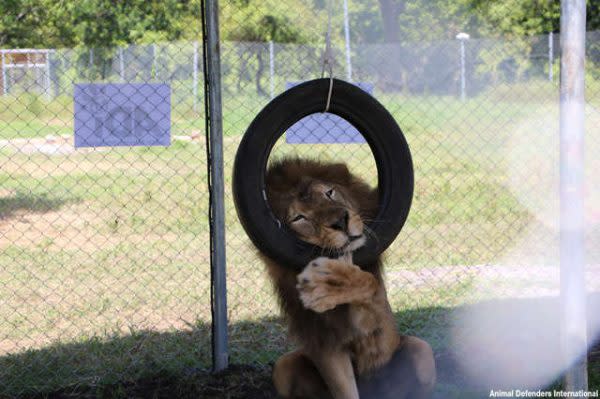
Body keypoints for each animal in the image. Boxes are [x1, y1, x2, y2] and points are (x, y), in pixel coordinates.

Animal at [262, 159, 436, 399]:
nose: (341, 221)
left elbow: (368, 282)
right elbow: (344, 389)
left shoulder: (377, 328)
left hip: (422, 350)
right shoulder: (325, 345)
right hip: (283, 368)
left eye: (329, 193)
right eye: (299, 218)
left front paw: (326, 285)